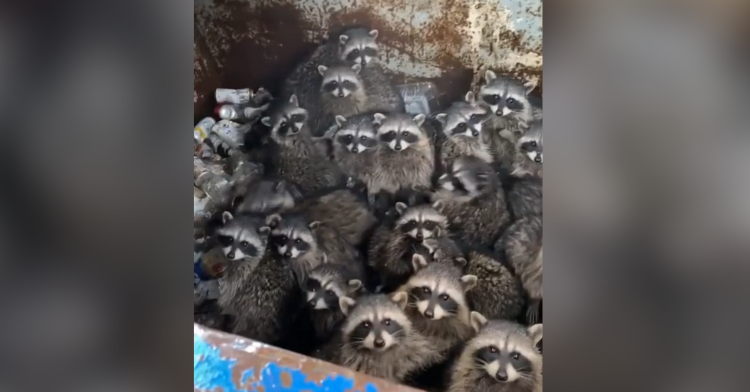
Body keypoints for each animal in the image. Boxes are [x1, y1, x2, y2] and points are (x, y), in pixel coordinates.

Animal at [212, 211, 300, 344]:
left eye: (244, 243)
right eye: (230, 239)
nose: (230, 255)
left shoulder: (245, 272)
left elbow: (231, 290)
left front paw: (223, 303)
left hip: (252, 305)